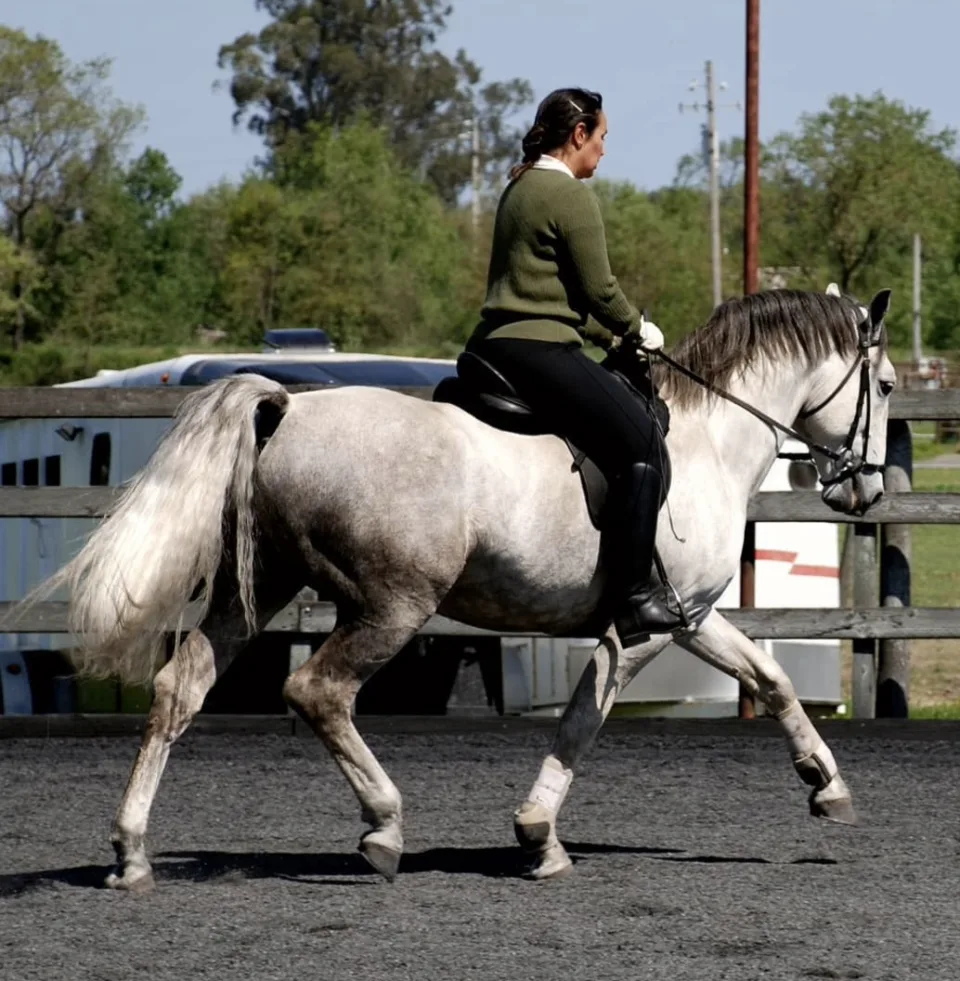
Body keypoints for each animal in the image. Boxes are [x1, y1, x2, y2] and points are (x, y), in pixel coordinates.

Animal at [30, 284, 895, 890]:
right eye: (885, 384)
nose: (868, 490)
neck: (711, 438)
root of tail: (288, 412)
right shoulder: (650, 624)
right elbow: (582, 720)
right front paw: (539, 832)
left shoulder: (692, 615)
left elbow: (771, 678)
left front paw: (826, 785)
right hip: (392, 604)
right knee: (317, 691)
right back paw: (382, 827)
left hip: (261, 589)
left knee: (181, 687)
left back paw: (132, 852)